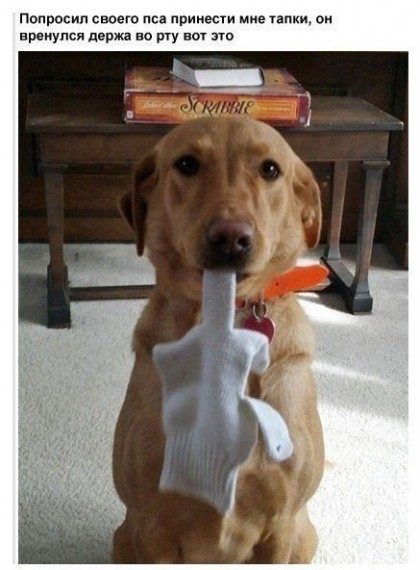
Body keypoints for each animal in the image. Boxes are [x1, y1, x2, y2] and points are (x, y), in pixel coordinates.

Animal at [112, 116, 325, 563]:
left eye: (270, 169)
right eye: (187, 164)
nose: (231, 237)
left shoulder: (281, 525)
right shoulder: (153, 524)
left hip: (303, 536)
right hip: (122, 537)